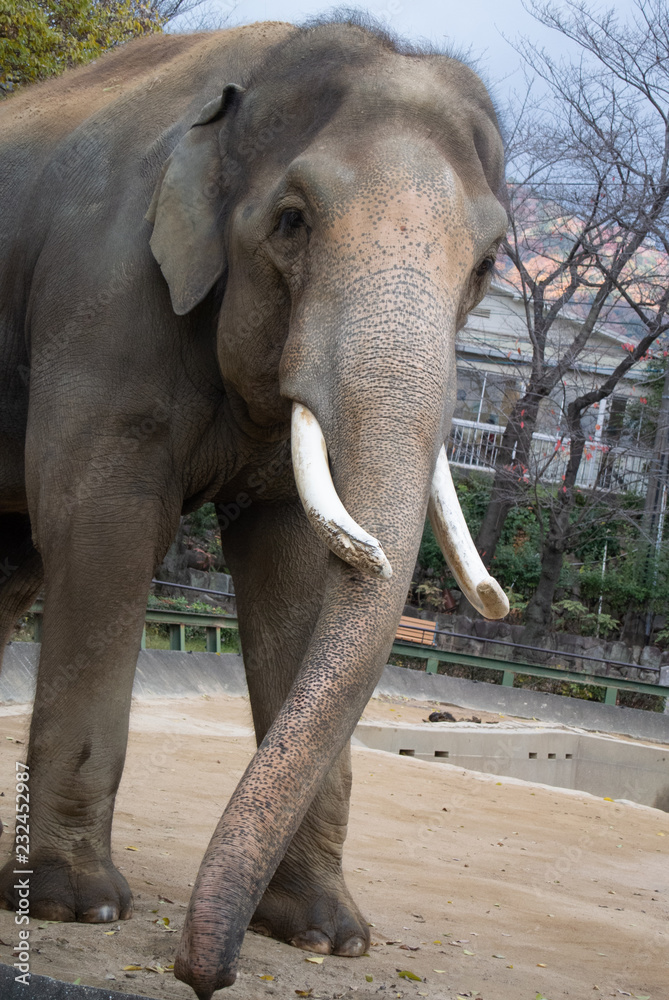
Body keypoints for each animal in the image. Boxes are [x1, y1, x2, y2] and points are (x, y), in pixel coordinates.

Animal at [0, 14, 509, 999]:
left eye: (486, 264)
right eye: (292, 221)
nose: (204, 977)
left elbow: (300, 574)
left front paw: (326, 936)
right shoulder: (103, 294)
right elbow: (101, 522)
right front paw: (80, 907)